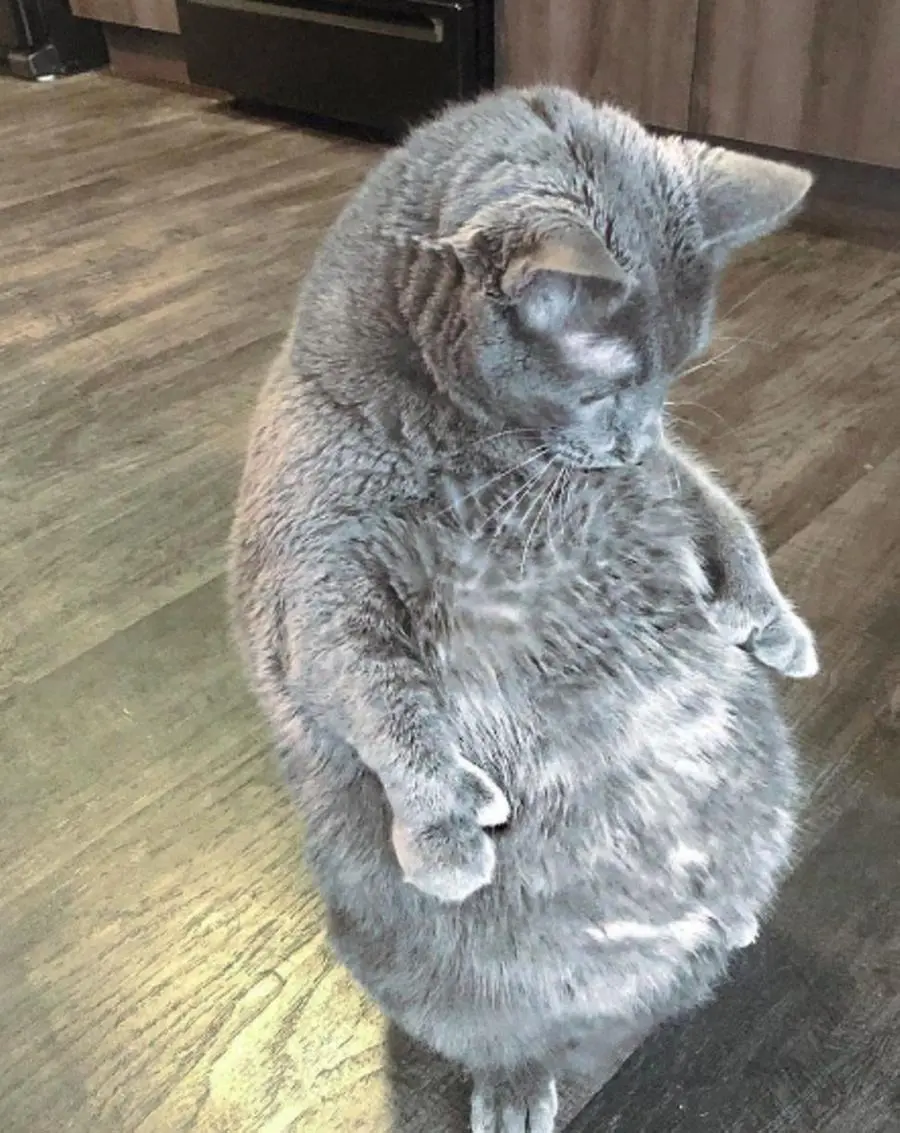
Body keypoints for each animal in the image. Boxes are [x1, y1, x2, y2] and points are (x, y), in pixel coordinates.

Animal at [229, 86, 819, 1133]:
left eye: (679, 368)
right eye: (609, 382)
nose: (633, 437)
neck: (471, 452)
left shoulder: (664, 480)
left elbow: (719, 508)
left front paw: (774, 624)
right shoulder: (316, 580)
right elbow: (375, 694)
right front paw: (450, 819)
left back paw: (737, 916)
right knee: (511, 1040)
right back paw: (517, 1087)